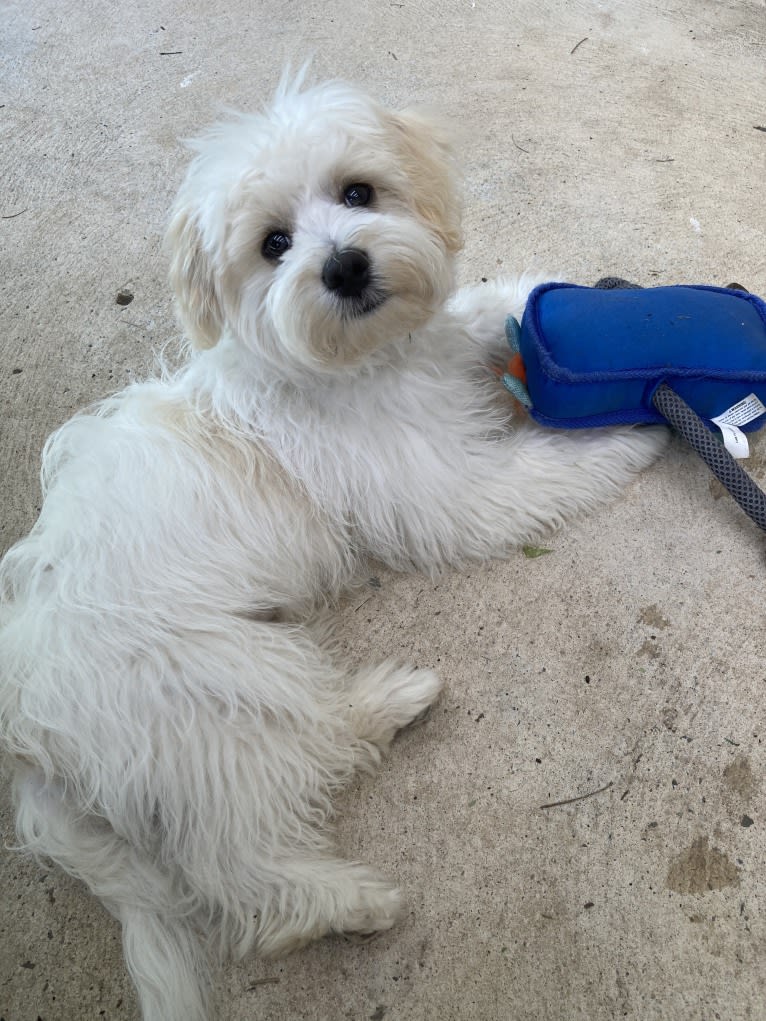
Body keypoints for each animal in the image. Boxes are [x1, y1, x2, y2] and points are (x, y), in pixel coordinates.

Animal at [0, 75, 665, 1021]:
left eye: (359, 192)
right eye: (272, 245)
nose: (344, 266)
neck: (359, 361)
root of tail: (27, 735)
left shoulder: (442, 346)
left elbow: (477, 308)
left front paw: (546, 293)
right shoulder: (448, 494)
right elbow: (539, 475)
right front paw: (633, 437)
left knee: (314, 739)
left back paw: (391, 701)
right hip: (211, 688)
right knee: (238, 863)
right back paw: (343, 900)